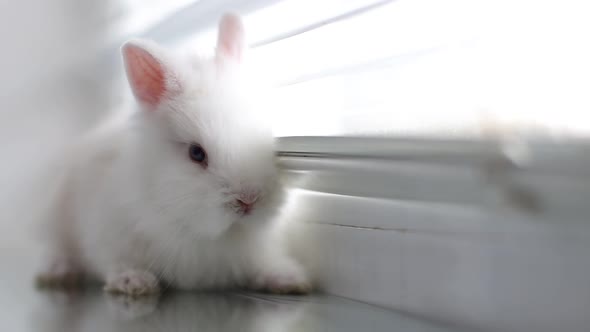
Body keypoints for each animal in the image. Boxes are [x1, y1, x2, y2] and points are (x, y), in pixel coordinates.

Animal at [35, 13, 314, 294]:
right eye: (196, 153)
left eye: (270, 139)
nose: (248, 200)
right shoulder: (107, 231)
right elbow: (115, 261)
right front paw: (133, 282)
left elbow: (265, 262)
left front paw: (288, 279)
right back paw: (58, 273)